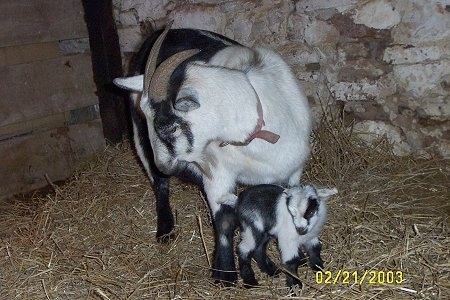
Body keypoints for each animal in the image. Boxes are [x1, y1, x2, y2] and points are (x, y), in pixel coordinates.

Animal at [112, 21, 312, 284]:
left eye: (169, 126)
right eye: (149, 119)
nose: (164, 165)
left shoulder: (292, 173)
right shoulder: (218, 175)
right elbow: (225, 221)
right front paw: (225, 275)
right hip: (139, 142)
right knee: (159, 184)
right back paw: (165, 230)